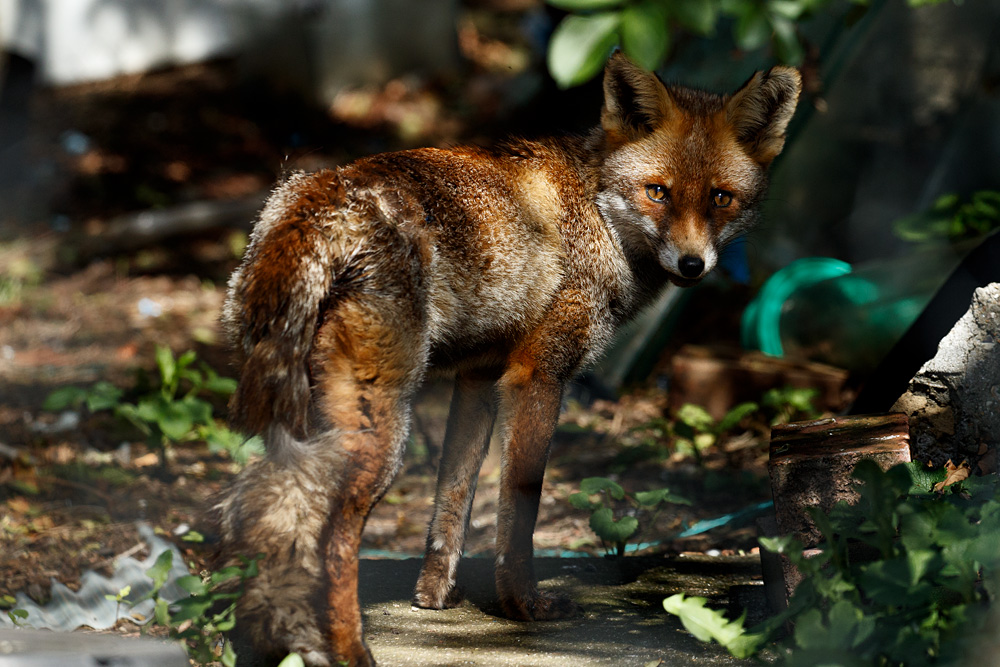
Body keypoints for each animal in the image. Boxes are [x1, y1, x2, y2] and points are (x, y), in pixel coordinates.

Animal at [215, 53, 801, 666]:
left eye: (720, 198)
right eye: (658, 192)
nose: (692, 265)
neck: (596, 213)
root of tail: (320, 194)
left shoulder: (478, 378)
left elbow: (453, 501)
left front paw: (433, 598)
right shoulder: (537, 375)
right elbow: (520, 508)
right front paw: (523, 607)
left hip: (307, 423)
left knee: (267, 522)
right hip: (379, 436)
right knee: (328, 538)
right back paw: (350, 651)